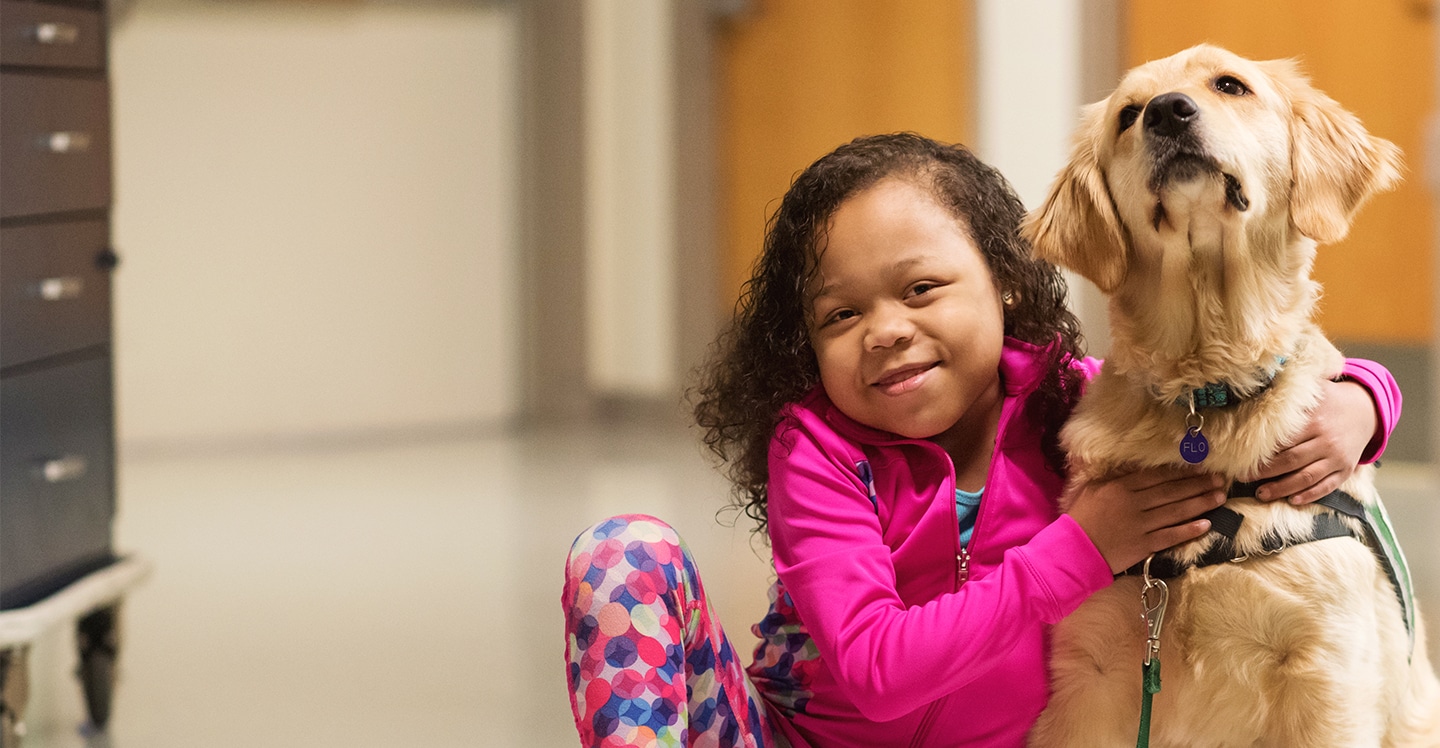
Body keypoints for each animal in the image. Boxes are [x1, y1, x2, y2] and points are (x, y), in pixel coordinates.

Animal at [1019, 46, 1440, 748]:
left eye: (1229, 85)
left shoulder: (1325, 671)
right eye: (1129, 114)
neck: (1207, 390)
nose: (1168, 111)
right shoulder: (1089, 676)